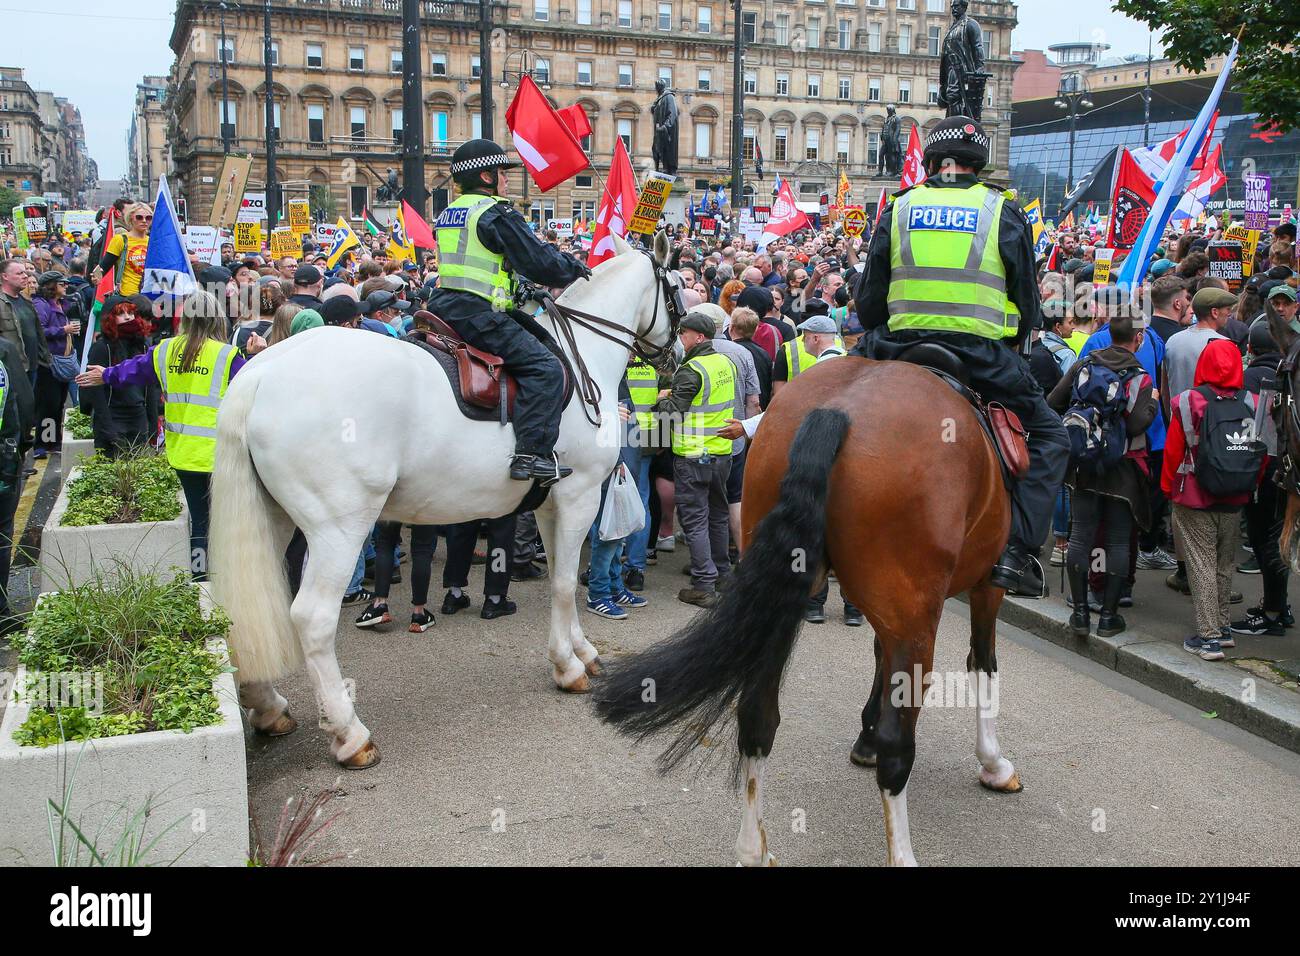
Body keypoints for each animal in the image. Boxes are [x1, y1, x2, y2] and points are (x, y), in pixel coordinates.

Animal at [208, 231, 676, 770]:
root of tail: (259, 374)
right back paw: (349, 734)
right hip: (339, 528)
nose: (677, 354)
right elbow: (562, 584)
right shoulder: (578, 498)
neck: (583, 359)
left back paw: (268, 707)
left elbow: (561, 574)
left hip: (274, 518)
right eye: (677, 288)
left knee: (244, 612)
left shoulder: (549, 504)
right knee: (312, 618)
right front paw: (567, 666)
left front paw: (582, 652)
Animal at [592, 356, 1024, 863]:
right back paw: (901, 853)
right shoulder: (985, 588)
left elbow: (882, 655)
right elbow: (983, 662)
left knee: (757, 717)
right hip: (915, 621)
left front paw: (865, 738)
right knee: (899, 747)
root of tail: (836, 410)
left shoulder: (902, 611)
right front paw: (994, 764)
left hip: (785, 603)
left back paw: (753, 849)